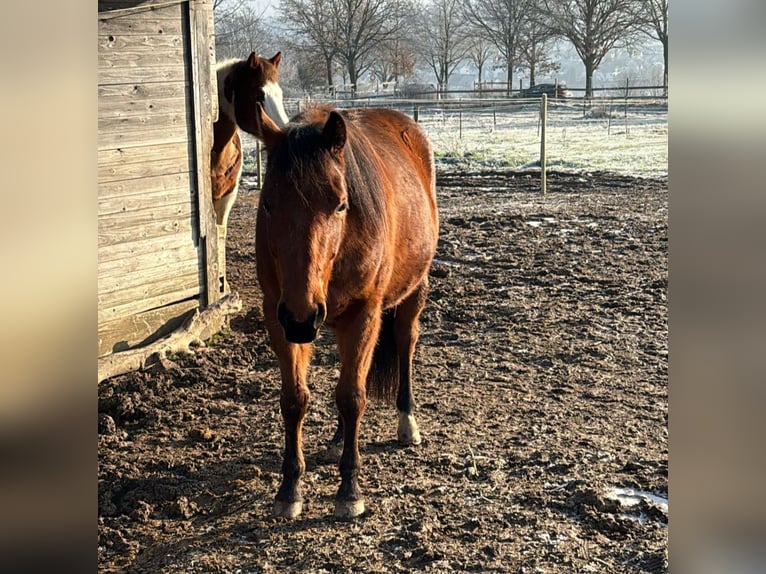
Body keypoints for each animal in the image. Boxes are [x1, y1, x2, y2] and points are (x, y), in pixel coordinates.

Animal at [255, 104, 440, 520]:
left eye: (340, 204)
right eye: (268, 203)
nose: (301, 317)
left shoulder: (362, 314)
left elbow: (353, 397)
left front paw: (349, 491)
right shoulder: (279, 318)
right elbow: (295, 399)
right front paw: (289, 488)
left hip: (411, 293)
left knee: (406, 344)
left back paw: (407, 422)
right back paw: (339, 438)